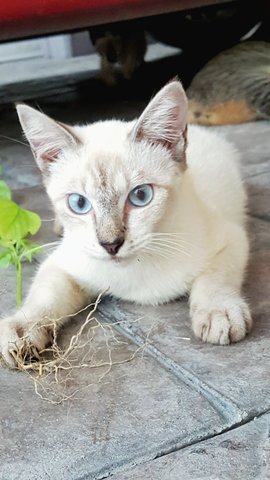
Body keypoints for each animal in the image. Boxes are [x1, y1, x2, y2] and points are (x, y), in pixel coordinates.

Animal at [0, 82, 251, 366]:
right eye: (78, 203)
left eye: (140, 196)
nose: (110, 245)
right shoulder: (64, 262)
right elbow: (44, 296)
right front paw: (22, 328)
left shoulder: (232, 239)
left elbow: (215, 277)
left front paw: (219, 311)